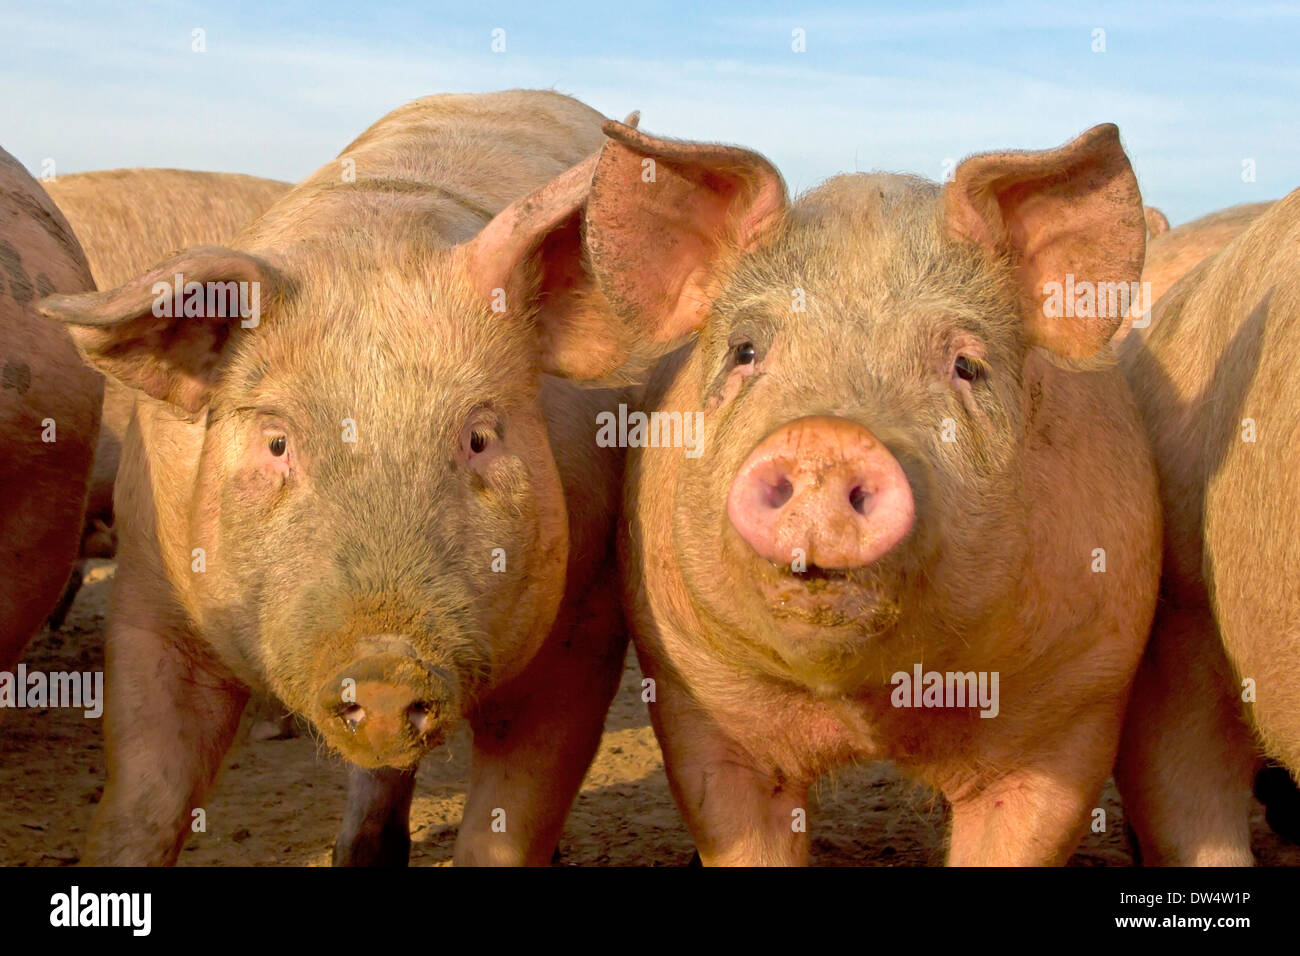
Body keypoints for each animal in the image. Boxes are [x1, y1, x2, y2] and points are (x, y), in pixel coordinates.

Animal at [36, 91, 629, 868]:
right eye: (277, 441)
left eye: (479, 437)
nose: (384, 666)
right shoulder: (149, 584)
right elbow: (144, 797)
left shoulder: (586, 616)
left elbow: (510, 823)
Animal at [579, 121, 1159, 868]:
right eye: (744, 351)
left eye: (966, 365)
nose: (828, 437)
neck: (870, 709)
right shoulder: (692, 693)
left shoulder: (1080, 698)